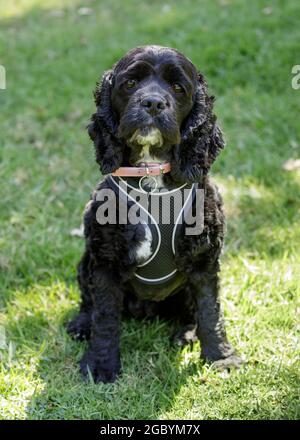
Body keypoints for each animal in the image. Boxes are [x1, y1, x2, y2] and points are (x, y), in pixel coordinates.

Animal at [67, 44, 243, 382]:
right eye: (130, 83)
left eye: (178, 87)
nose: (152, 103)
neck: (151, 179)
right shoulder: (106, 260)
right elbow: (104, 317)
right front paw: (101, 365)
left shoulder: (203, 259)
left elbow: (210, 310)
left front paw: (220, 358)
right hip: (86, 260)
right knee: (88, 302)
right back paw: (81, 325)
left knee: (191, 313)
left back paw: (186, 334)